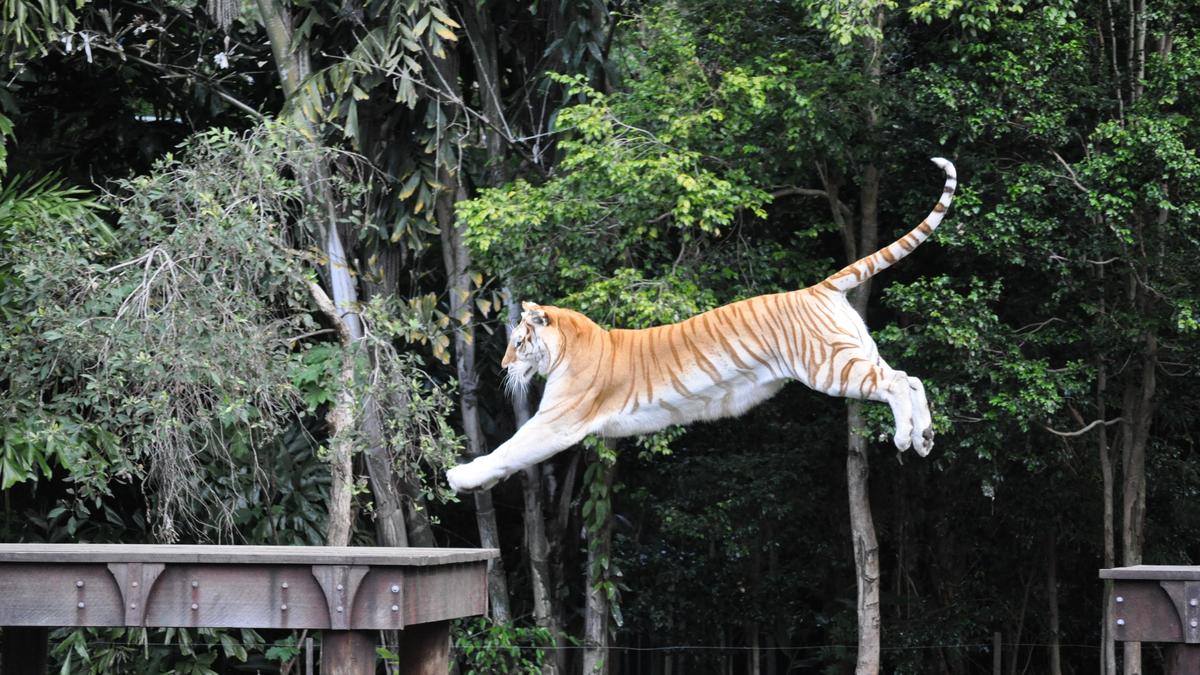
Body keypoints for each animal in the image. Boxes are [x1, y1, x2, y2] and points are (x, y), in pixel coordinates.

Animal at [446, 159, 960, 492]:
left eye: (517, 342)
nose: (505, 366)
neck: (569, 347)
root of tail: (818, 287)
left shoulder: (556, 421)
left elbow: (510, 450)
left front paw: (462, 477)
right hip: (854, 351)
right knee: (911, 378)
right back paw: (923, 437)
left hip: (830, 365)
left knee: (895, 382)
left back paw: (904, 437)